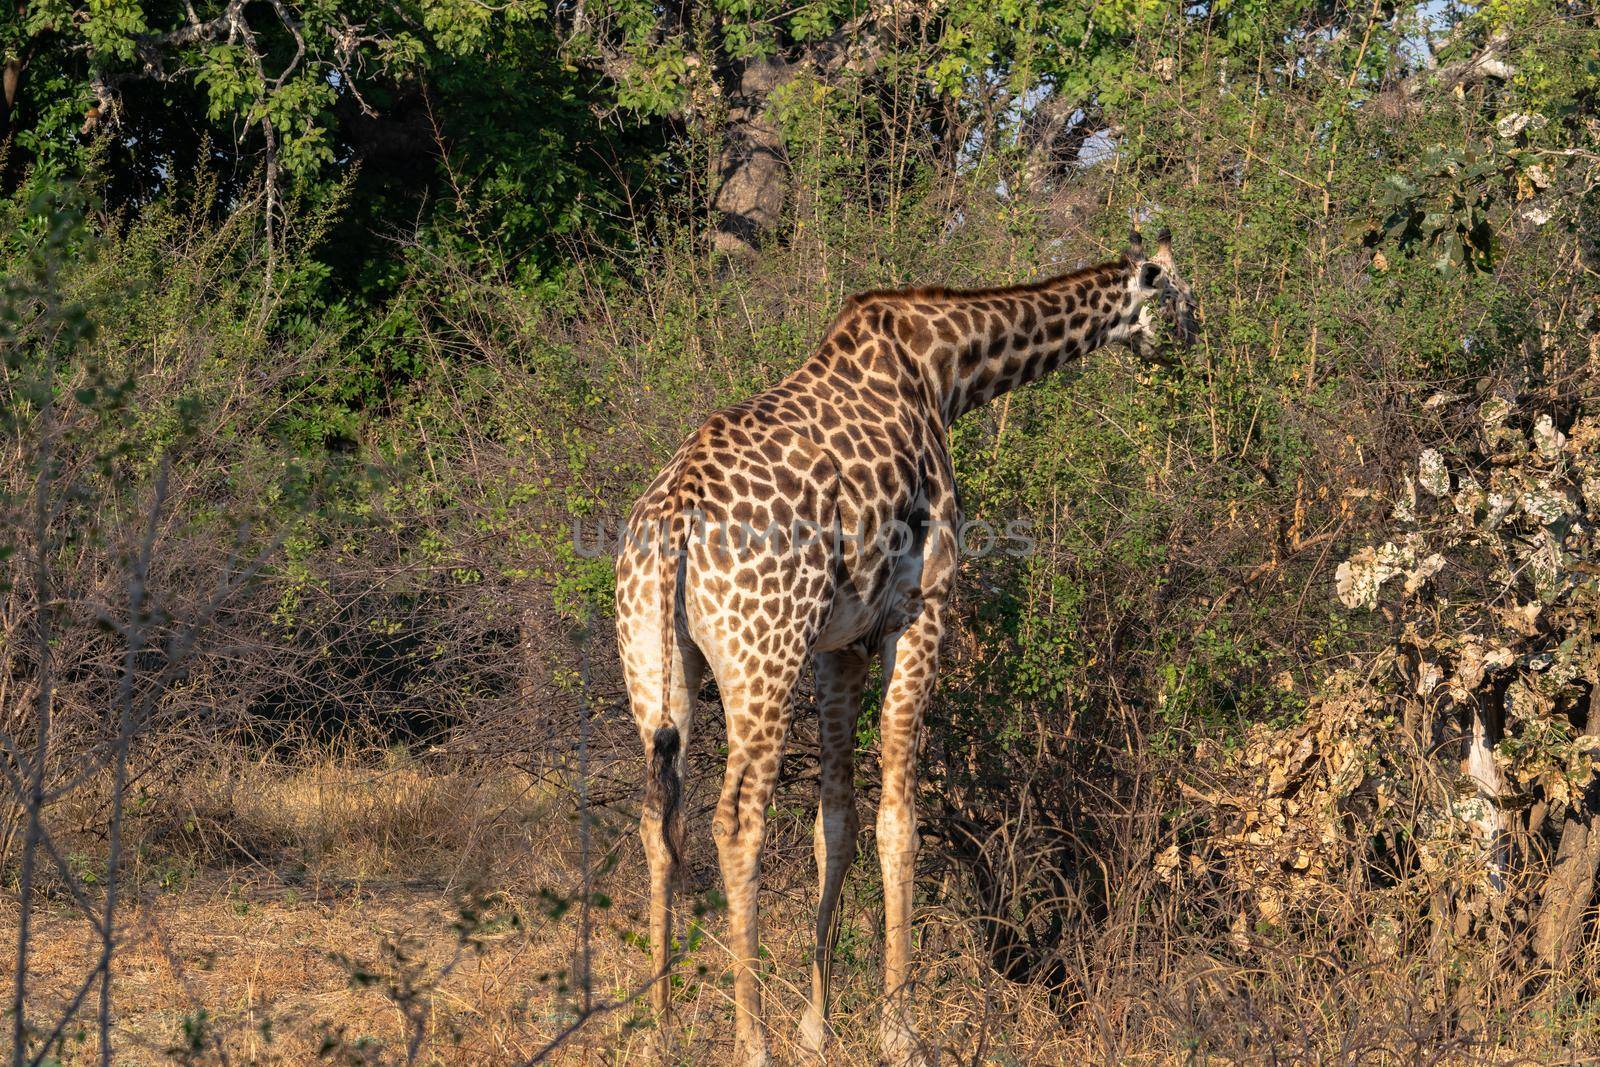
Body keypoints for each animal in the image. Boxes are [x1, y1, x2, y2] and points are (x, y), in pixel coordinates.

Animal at [617, 230, 1196, 1062]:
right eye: (1177, 291)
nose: (1193, 339)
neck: (946, 371)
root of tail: (673, 521)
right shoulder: (919, 611)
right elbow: (900, 823)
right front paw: (900, 1030)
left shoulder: (840, 644)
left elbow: (835, 823)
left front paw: (819, 1027)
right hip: (761, 658)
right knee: (736, 819)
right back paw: (749, 1040)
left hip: (655, 665)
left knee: (657, 816)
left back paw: (659, 1029)